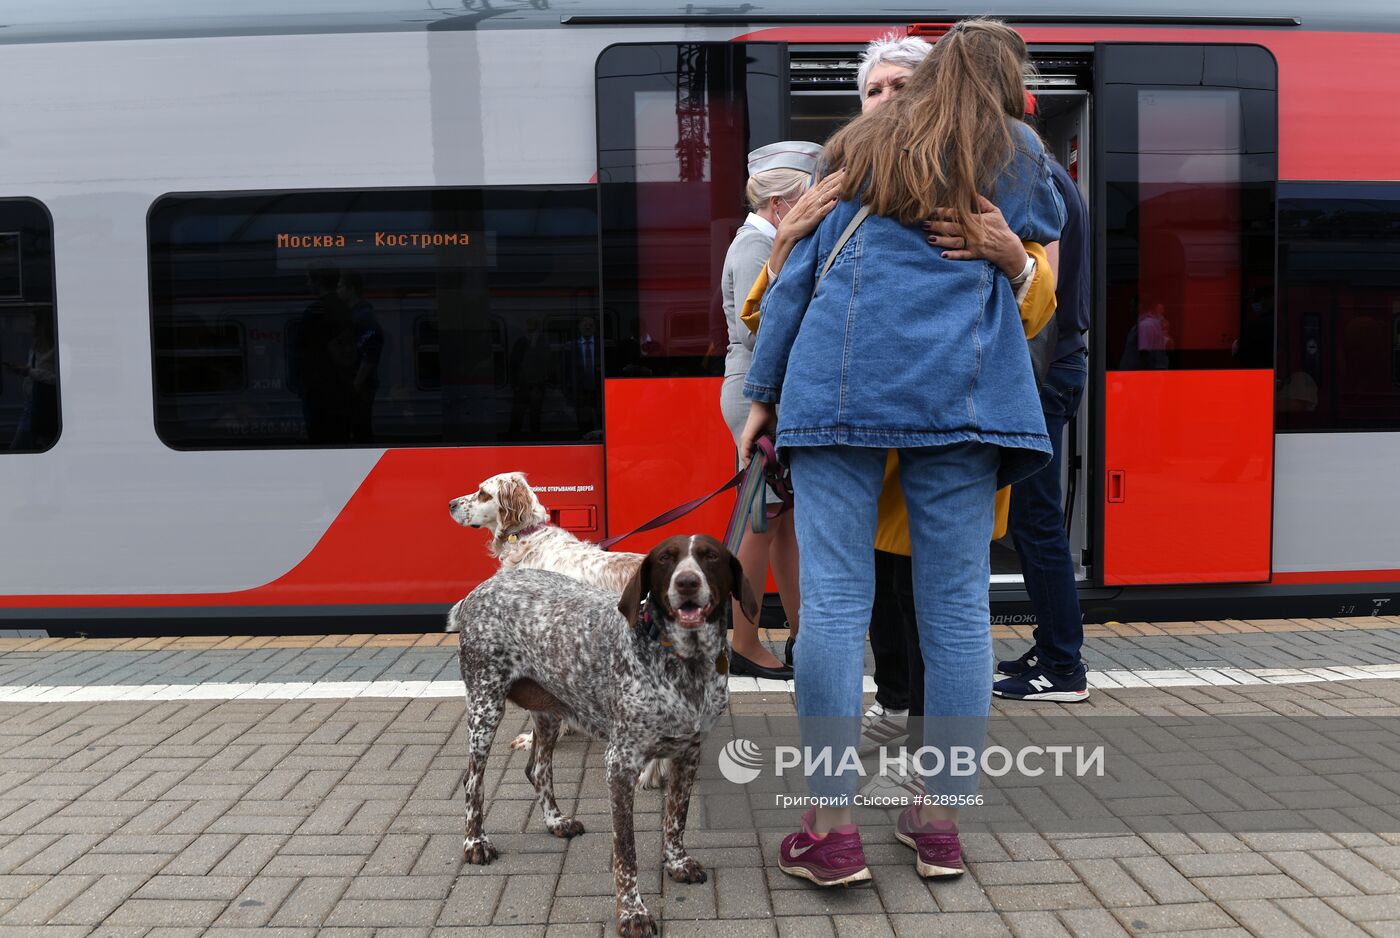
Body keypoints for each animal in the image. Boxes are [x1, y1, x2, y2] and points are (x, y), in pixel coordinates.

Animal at [448, 537, 756, 938]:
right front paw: (632, 912)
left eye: (711, 557)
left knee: (538, 769)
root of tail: (478, 591)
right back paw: (475, 842)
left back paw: (556, 821)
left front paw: (676, 863)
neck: (687, 665)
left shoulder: (687, 754)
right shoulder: (620, 765)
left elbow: (676, 820)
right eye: (665, 559)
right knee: (473, 781)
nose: (687, 582)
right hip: (485, 707)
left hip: (549, 712)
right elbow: (626, 852)